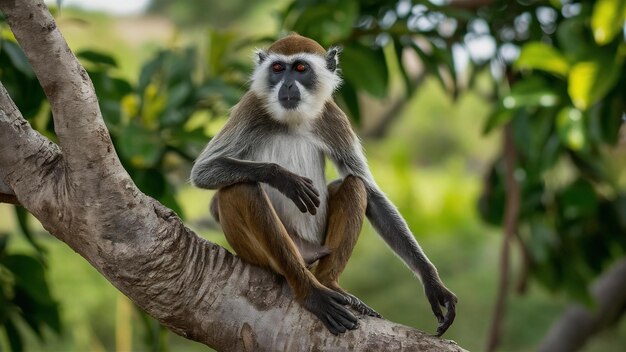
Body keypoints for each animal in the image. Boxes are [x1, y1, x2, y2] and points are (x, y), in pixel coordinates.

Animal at [188, 34, 456, 336]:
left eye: (300, 69)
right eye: (278, 69)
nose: (287, 84)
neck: (293, 120)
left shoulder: (333, 116)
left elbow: (370, 192)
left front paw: (432, 281)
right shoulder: (251, 106)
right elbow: (203, 172)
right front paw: (284, 178)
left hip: (318, 245)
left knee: (354, 185)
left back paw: (328, 283)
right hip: (262, 251)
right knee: (241, 188)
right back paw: (310, 293)